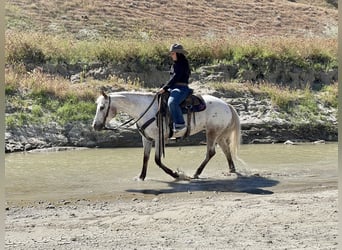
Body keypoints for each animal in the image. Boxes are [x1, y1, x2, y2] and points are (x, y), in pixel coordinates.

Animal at [91, 91, 240, 181]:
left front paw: (175, 174)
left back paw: (196, 173)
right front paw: (141, 177)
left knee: (211, 152)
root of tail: (226, 104)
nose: (95, 126)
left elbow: (157, 160)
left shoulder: (159, 138)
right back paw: (231, 169)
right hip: (218, 134)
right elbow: (145, 158)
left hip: (212, 132)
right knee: (226, 149)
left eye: (102, 107)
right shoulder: (146, 138)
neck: (145, 109)